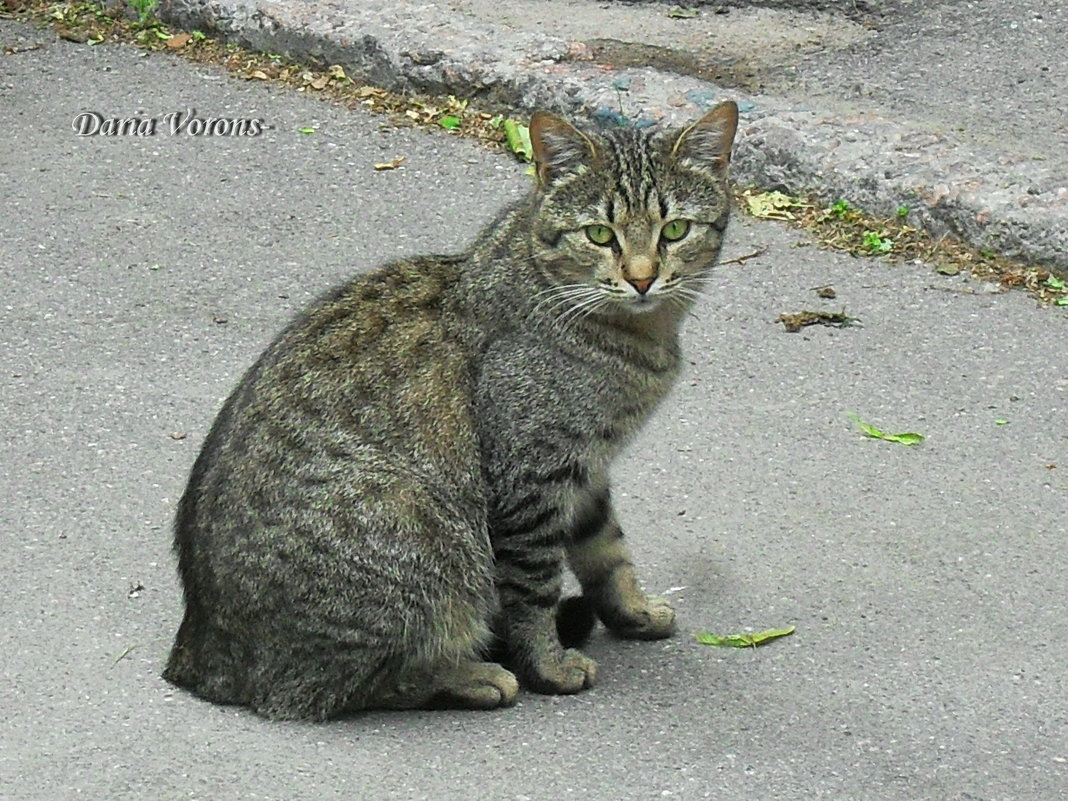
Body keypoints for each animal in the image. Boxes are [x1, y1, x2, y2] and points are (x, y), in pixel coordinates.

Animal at [162, 100, 739, 721]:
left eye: (674, 230)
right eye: (599, 235)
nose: (641, 277)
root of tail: (197, 654)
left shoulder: (587, 469)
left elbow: (608, 552)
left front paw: (632, 612)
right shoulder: (532, 474)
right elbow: (534, 589)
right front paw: (548, 666)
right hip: (417, 525)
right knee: (340, 685)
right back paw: (473, 676)